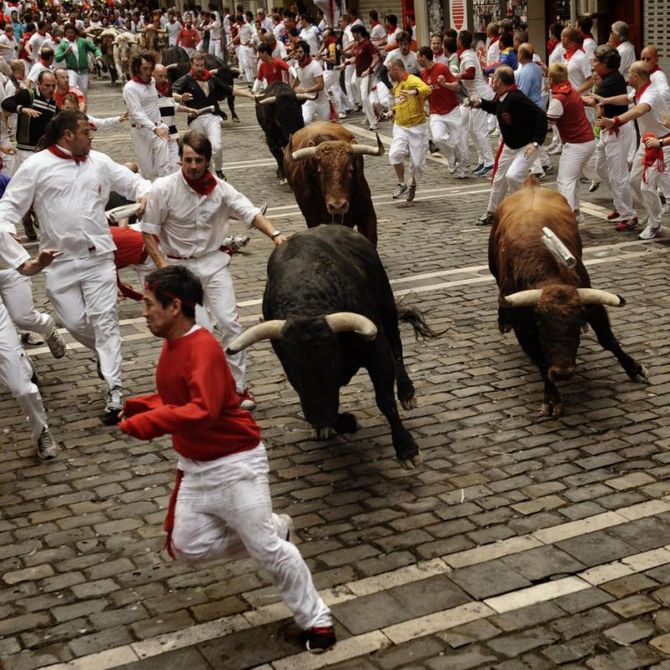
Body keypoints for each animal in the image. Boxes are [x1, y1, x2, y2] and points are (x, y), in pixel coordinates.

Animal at [226, 226, 436, 472]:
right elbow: (324, 407)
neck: (306, 303)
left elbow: (385, 400)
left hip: (387, 307)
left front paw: (407, 450)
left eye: (331, 359)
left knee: (397, 347)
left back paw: (407, 393)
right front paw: (344, 422)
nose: (318, 417)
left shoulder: (377, 351)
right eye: (291, 366)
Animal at [488, 176, 652, 418]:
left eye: (576, 322)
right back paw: (502, 319)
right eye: (540, 324)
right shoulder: (523, 326)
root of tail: (530, 184)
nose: (563, 372)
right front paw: (551, 398)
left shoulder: (592, 305)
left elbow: (608, 339)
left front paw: (635, 368)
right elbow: (539, 360)